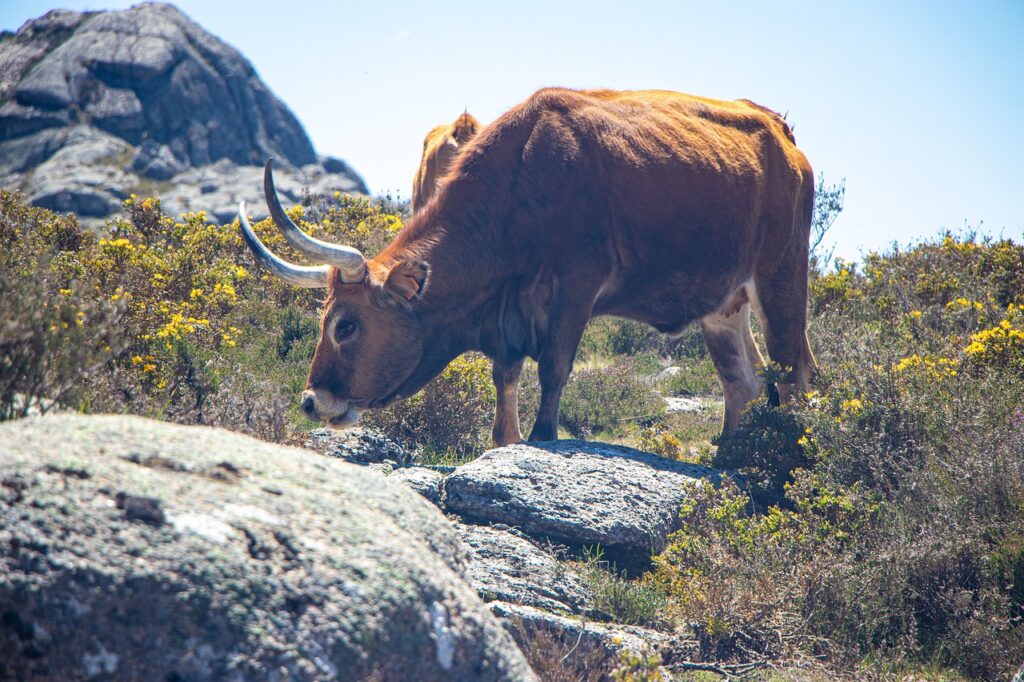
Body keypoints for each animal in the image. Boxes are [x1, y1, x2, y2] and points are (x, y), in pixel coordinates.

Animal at [239, 87, 815, 444]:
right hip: (724, 302)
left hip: (781, 276)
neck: (523, 180)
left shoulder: (576, 286)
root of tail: (780, 131)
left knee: (795, 371)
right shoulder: (509, 317)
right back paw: (729, 460)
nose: (312, 401)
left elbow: (554, 367)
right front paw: (507, 441)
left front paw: (541, 439)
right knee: (744, 381)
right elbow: (507, 377)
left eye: (346, 325)